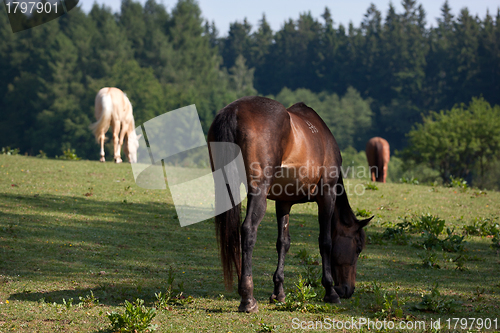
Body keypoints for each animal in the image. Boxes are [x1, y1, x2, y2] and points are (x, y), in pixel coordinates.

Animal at [207, 95, 372, 312]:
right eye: (358, 247)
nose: (348, 290)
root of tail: (234, 111)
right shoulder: (327, 196)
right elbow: (325, 242)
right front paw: (330, 291)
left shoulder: (283, 202)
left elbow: (283, 243)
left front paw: (279, 292)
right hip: (258, 193)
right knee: (249, 230)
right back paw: (248, 298)